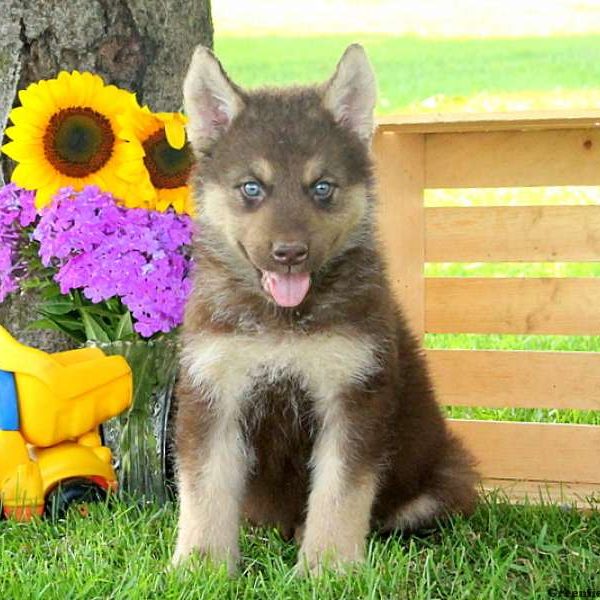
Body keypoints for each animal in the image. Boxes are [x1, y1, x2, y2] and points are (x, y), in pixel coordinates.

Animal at [173, 43, 478, 576]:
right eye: (252, 187)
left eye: (322, 187)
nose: (289, 253)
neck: (283, 322)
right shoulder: (213, 394)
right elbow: (204, 490)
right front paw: (200, 567)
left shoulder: (353, 397)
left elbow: (340, 493)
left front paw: (328, 567)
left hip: (444, 477)